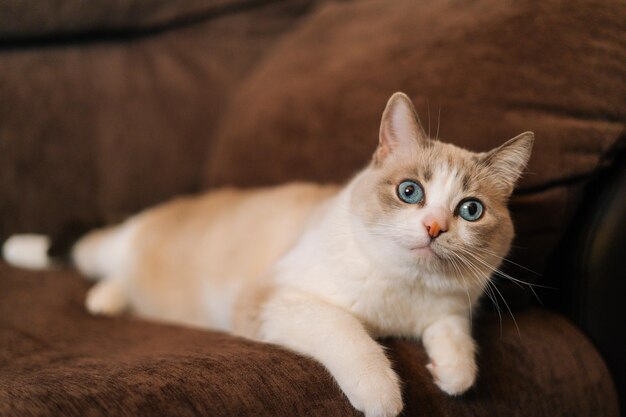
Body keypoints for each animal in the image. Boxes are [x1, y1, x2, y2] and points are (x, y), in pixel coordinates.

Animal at [3, 93, 532, 416]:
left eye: (470, 210)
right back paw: (19, 249)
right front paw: (382, 394)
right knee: (84, 249)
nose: (434, 227)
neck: (404, 292)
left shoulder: (450, 309)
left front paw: (450, 374)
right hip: (120, 244)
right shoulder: (272, 299)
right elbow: (349, 333)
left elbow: (458, 347)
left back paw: (105, 301)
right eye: (409, 192)